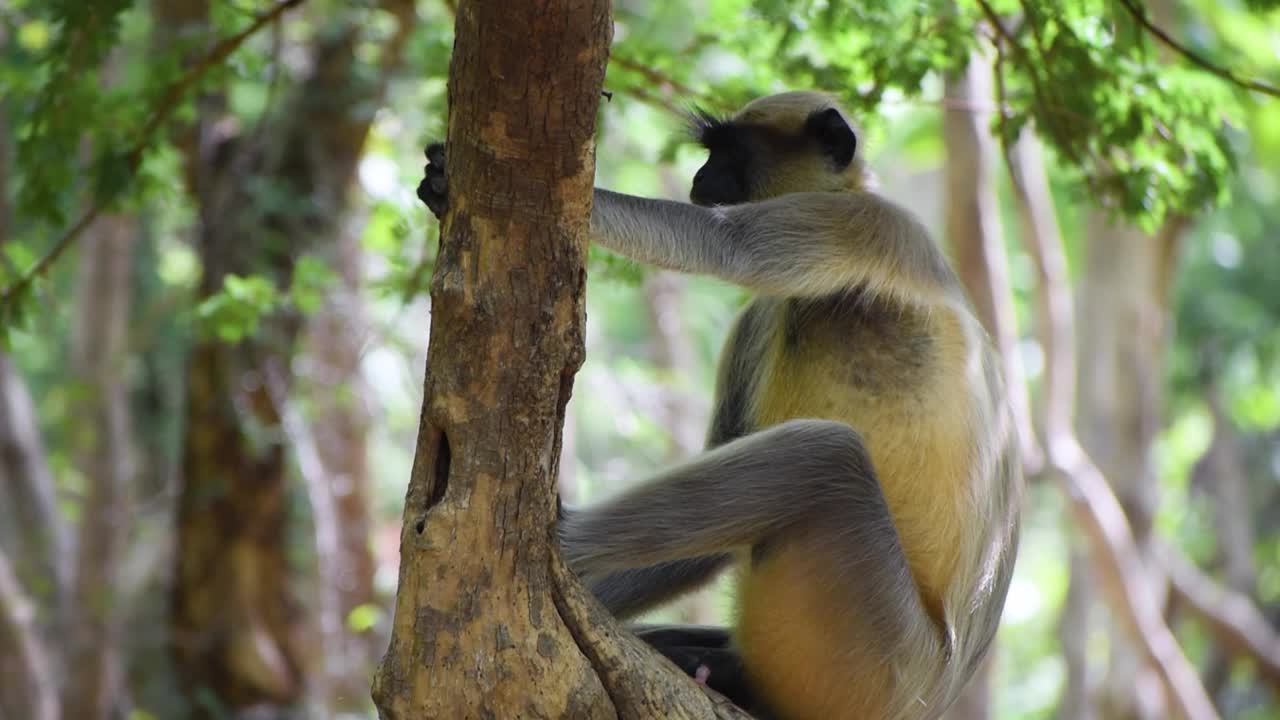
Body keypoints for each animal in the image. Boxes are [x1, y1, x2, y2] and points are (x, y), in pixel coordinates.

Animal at [417, 92, 1018, 717]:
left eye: (730, 153)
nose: (701, 178)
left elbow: (727, 245)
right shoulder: (761, 315)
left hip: (876, 658)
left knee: (825, 455)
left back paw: (566, 538)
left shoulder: (872, 225)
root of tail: (937, 690)